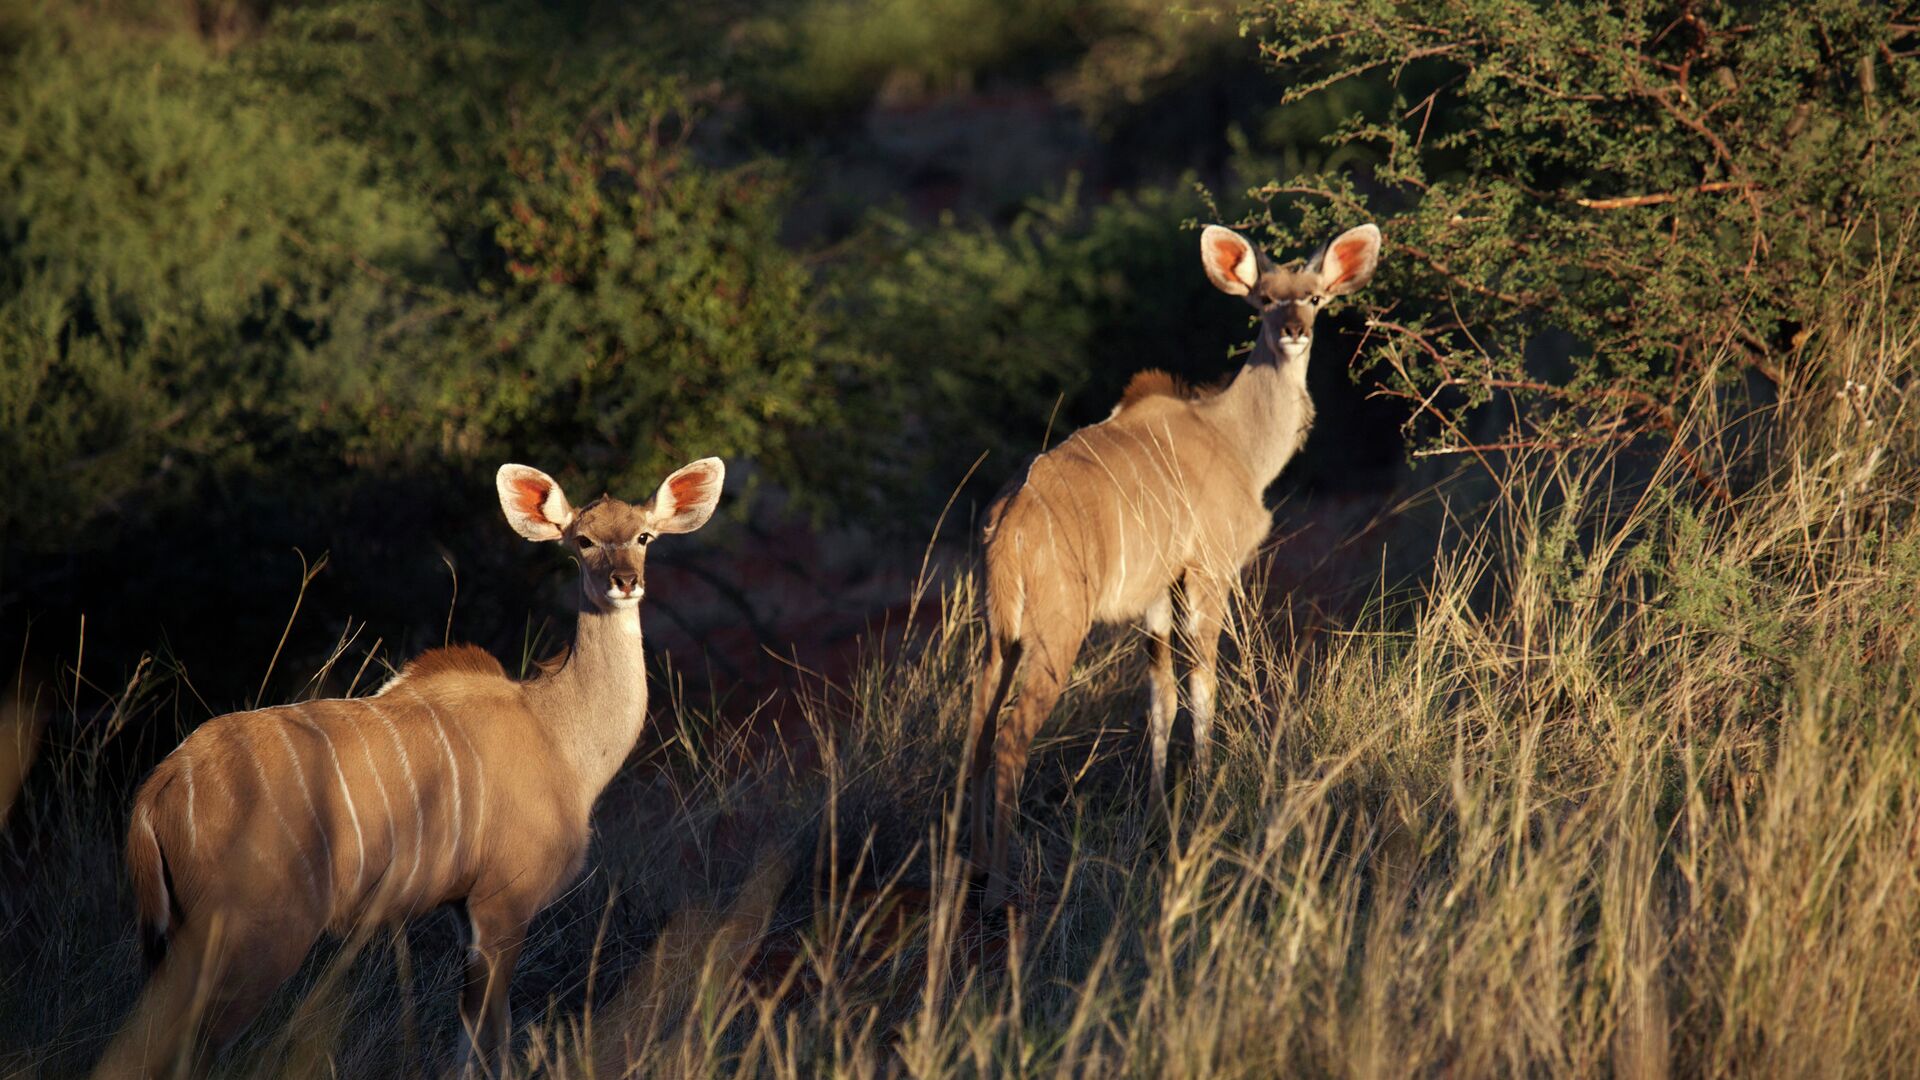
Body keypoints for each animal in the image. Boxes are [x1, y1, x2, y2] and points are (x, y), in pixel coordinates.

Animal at [90, 449, 721, 1068]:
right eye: (583, 540)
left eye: (644, 536)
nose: (624, 582)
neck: (557, 733)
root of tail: (158, 791)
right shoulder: (502, 904)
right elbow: (491, 1042)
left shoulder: (464, 911)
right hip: (257, 935)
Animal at [975, 222, 1382, 903]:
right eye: (1264, 299)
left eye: (1316, 298)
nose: (1295, 329)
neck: (1233, 438)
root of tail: (1010, 526)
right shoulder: (1209, 570)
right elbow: (1203, 684)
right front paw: (1208, 795)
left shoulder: (1157, 597)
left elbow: (1160, 695)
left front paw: (1156, 811)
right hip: (1056, 633)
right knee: (1009, 735)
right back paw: (1002, 881)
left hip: (998, 636)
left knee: (974, 727)